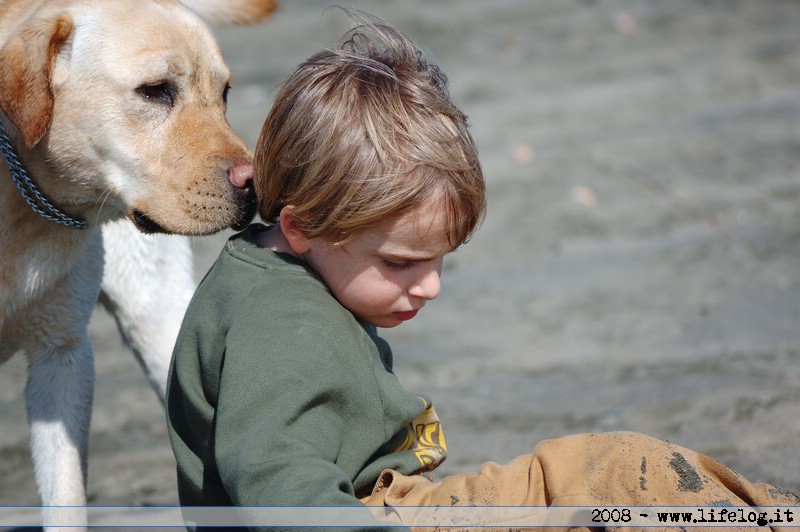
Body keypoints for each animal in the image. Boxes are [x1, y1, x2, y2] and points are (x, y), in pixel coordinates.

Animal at [0, 0, 276, 524]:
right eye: (155, 90)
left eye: (224, 93)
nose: (256, 186)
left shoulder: (63, 354)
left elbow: (67, 503)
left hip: (161, 320)